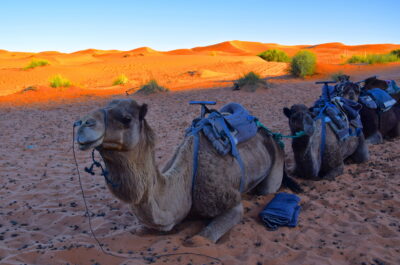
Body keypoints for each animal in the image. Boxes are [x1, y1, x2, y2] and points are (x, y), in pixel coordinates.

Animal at [76, 97, 296, 241]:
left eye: (126, 118)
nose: (83, 124)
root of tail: (268, 132)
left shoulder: (232, 204)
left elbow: (201, 238)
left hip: (274, 166)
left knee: (266, 189)